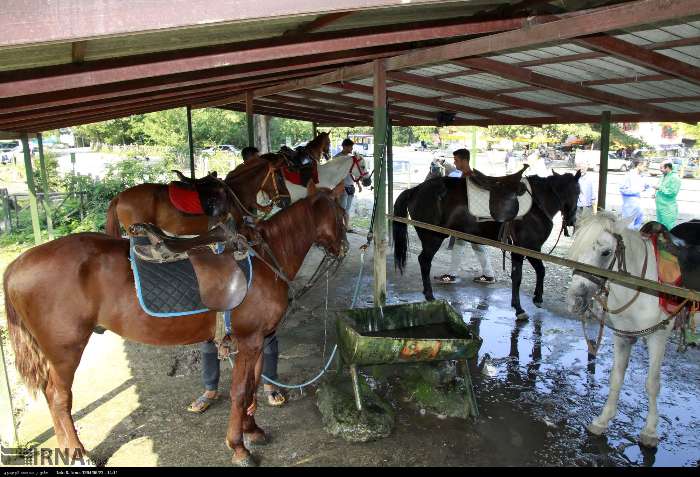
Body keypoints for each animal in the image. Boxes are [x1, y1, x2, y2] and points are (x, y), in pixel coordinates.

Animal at [2, 181, 348, 464]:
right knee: (59, 398)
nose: (343, 248)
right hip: (64, 351)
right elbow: (239, 393)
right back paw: (76, 453)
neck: (265, 257)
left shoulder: (258, 341)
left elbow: (251, 388)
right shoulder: (249, 341)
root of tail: (16, 265)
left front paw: (253, 430)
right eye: (341, 214)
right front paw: (238, 447)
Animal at [394, 171, 580, 320]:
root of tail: (416, 190)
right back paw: (430, 295)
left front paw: (535, 299)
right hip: (433, 237)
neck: (535, 205)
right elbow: (522, 276)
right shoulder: (525, 248)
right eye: (578, 192)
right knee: (424, 261)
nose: (572, 221)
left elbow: (536, 271)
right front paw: (521, 308)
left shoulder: (529, 249)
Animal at [568, 211, 680, 446]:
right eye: (576, 249)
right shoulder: (623, 335)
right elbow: (616, 377)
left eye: (606, 252)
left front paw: (650, 431)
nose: (575, 300)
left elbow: (652, 383)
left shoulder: (658, 335)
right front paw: (602, 420)